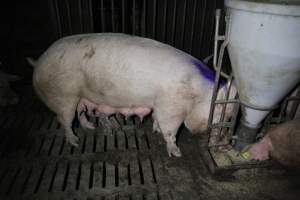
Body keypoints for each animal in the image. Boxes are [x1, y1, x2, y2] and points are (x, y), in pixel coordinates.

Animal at [27, 33, 234, 156]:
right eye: (222, 113)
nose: (225, 144)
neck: (197, 93)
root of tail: (38, 63)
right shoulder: (170, 105)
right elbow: (170, 129)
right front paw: (176, 152)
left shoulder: (160, 105)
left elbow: (157, 120)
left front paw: (155, 130)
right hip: (63, 95)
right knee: (64, 119)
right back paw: (75, 142)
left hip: (81, 99)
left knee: (80, 114)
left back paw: (91, 127)